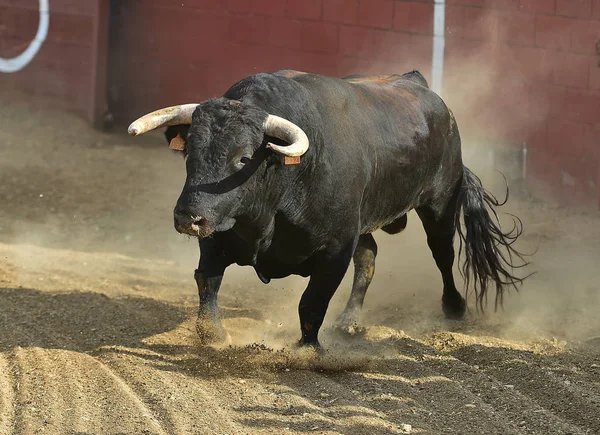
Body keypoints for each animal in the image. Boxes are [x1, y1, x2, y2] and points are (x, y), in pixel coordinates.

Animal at [129, 70, 528, 350]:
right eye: (189, 153)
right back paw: (349, 320)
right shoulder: (218, 234)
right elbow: (208, 281)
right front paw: (213, 335)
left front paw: (308, 350)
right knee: (369, 255)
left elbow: (312, 302)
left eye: (243, 158)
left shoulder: (335, 248)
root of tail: (418, 82)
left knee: (442, 253)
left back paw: (454, 308)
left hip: (439, 203)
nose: (188, 218)